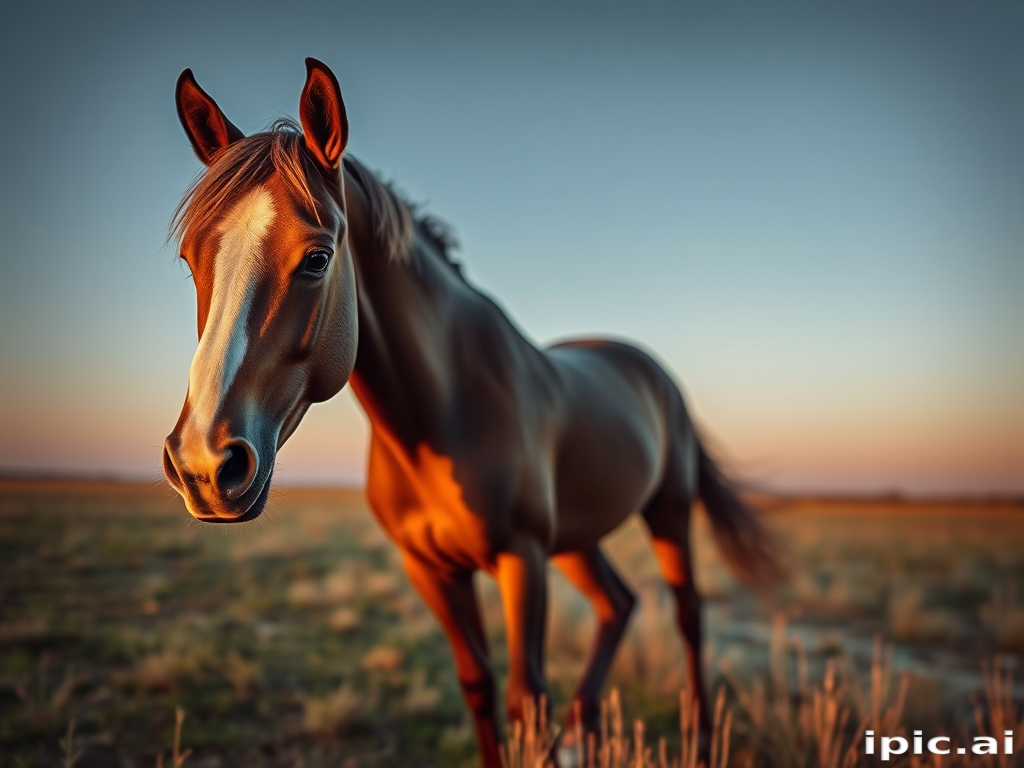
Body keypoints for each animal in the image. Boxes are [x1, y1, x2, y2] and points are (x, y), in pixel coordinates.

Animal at [162, 58, 777, 766]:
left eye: (317, 258)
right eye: (190, 260)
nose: (206, 465)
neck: (440, 414)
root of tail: (650, 370)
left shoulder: (522, 559)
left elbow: (525, 698)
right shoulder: (431, 570)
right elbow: (478, 686)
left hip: (668, 512)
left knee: (687, 618)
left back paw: (697, 737)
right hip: (578, 540)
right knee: (618, 605)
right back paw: (588, 724)